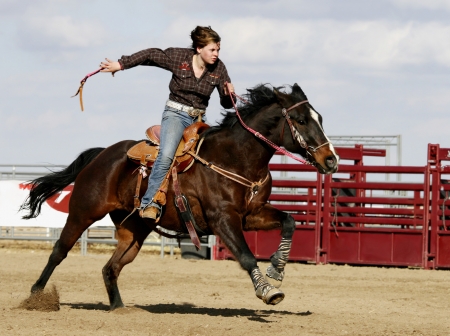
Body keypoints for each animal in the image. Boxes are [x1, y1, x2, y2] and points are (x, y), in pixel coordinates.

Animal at [20, 83, 338, 310]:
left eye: (320, 118)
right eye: (300, 120)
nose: (331, 160)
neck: (235, 157)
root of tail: (101, 155)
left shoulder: (252, 214)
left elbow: (289, 222)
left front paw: (277, 268)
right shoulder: (223, 220)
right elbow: (247, 256)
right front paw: (268, 291)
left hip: (134, 229)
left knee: (111, 267)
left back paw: (120, 308)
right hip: (84, 212)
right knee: (60, 250)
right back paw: (35, 297)